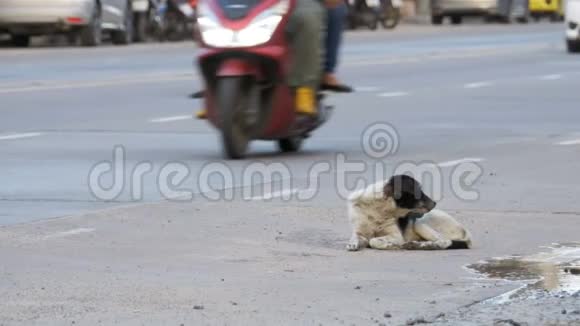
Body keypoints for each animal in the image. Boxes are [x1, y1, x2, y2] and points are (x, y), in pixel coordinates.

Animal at [344, 174, 472, 251]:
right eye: (418, 191)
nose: (435, 203)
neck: (378, 209)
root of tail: (465, 231)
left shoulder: (397, 236)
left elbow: (373, 240)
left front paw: (389, 245)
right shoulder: (359, 231)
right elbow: (355, 238)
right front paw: (352, 244)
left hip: (419, 223)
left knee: (444, 242)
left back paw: (424, 246)